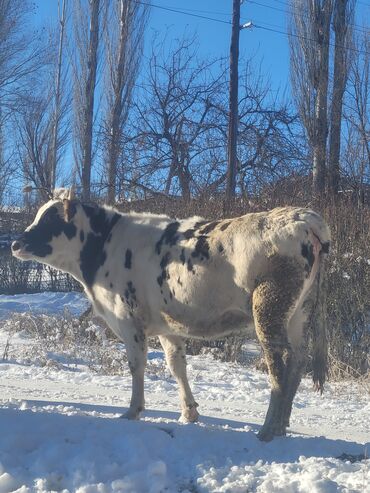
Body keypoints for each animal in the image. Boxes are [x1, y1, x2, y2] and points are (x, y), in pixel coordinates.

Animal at [11, 190, 330, 440]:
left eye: (50, 219)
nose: (15, 243)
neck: (103, 248)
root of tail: (304, 217)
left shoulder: (129, 319)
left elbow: (136, 365)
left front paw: (132, 411)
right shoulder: (167, 325)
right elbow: (177, 366)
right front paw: (189, 413)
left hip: (269, 305)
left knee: (280, 360)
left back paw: (268, 429)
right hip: (298, 312)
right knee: (298, 359)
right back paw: (282, 425)